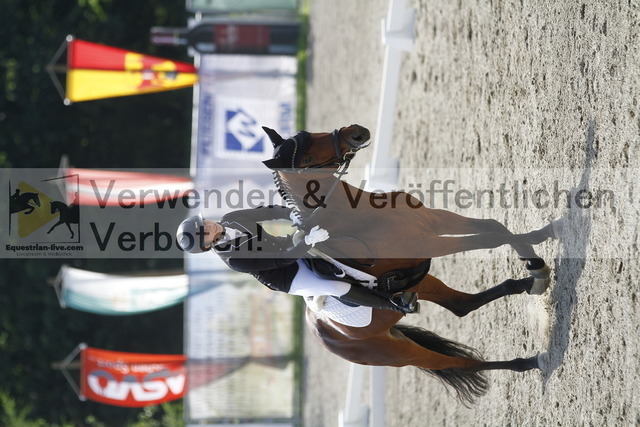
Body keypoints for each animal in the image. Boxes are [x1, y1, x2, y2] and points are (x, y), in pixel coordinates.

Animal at [261, 124, 560, 403]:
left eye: (309, 133)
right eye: (307, 158)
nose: (356, 133)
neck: (358, 214)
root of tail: (321, 330)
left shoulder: (435, 221)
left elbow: (494, 226)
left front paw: (540, 247)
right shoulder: (431, 242)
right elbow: (493, 237)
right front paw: (536, 265)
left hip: (419, 283)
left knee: (461, 305)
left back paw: (526, 285)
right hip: (395, 354)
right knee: (460, 362)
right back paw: (529, 361)